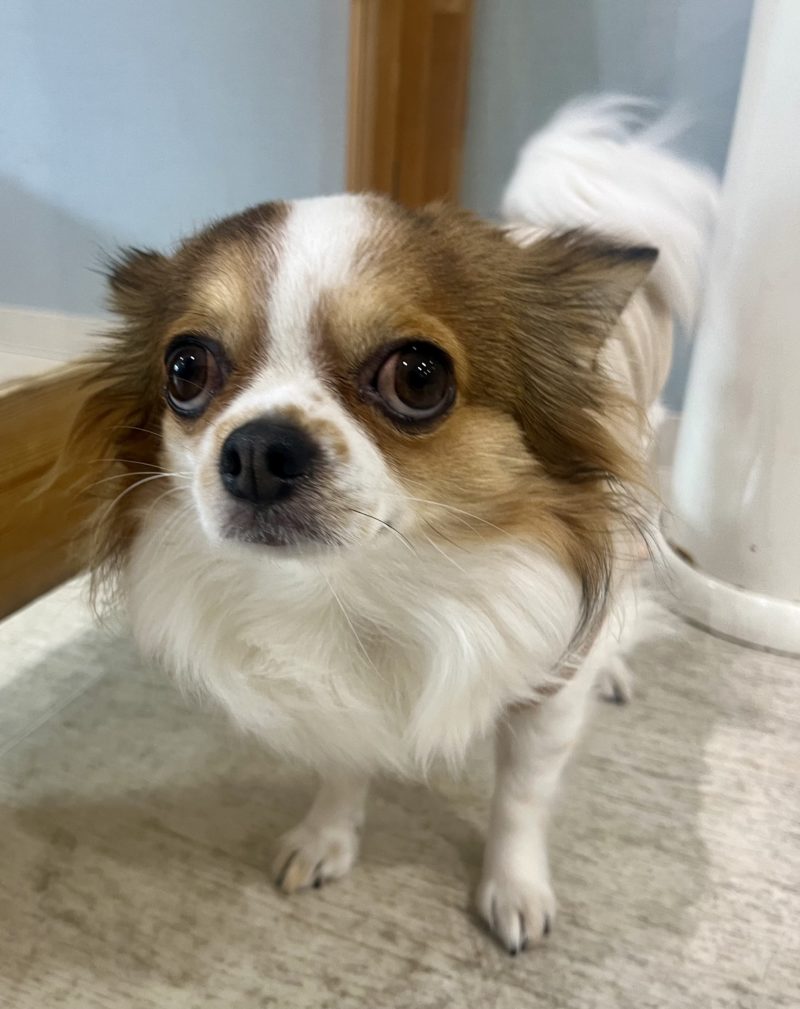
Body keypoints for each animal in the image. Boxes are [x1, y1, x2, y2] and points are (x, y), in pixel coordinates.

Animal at [69, 97, 718, 953]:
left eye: (417, 375)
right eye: (185, 368)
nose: (258, 450)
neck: (370, 584)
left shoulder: (546, 688)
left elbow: (521, 794)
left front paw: (514, 885)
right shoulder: (335, 701)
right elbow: (344, 764)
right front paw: (327, 835)